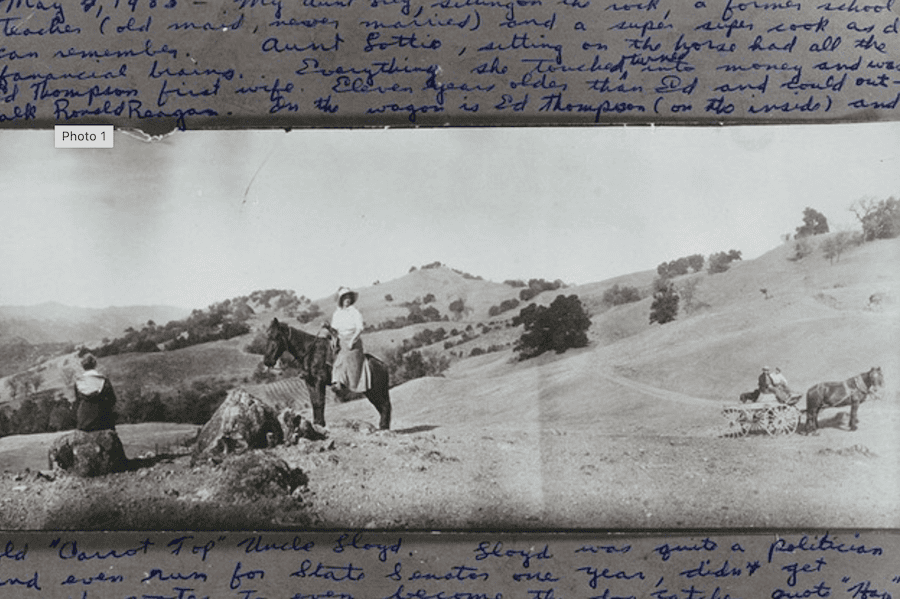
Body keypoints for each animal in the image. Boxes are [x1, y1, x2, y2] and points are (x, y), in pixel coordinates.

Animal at [262, 318, 392, 432]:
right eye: (267, 336)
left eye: (276, 336)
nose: (267, 361)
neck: (310, 352)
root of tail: (382, 365)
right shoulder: (309, 382)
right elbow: (314, 402)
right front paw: (316, 423)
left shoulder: (319, 381)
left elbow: (320, 401)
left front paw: (320, 424)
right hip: (373, 392)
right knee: (383, 407)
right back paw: (383, 427)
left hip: (374, 391)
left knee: (385, 406)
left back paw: (383, 427)